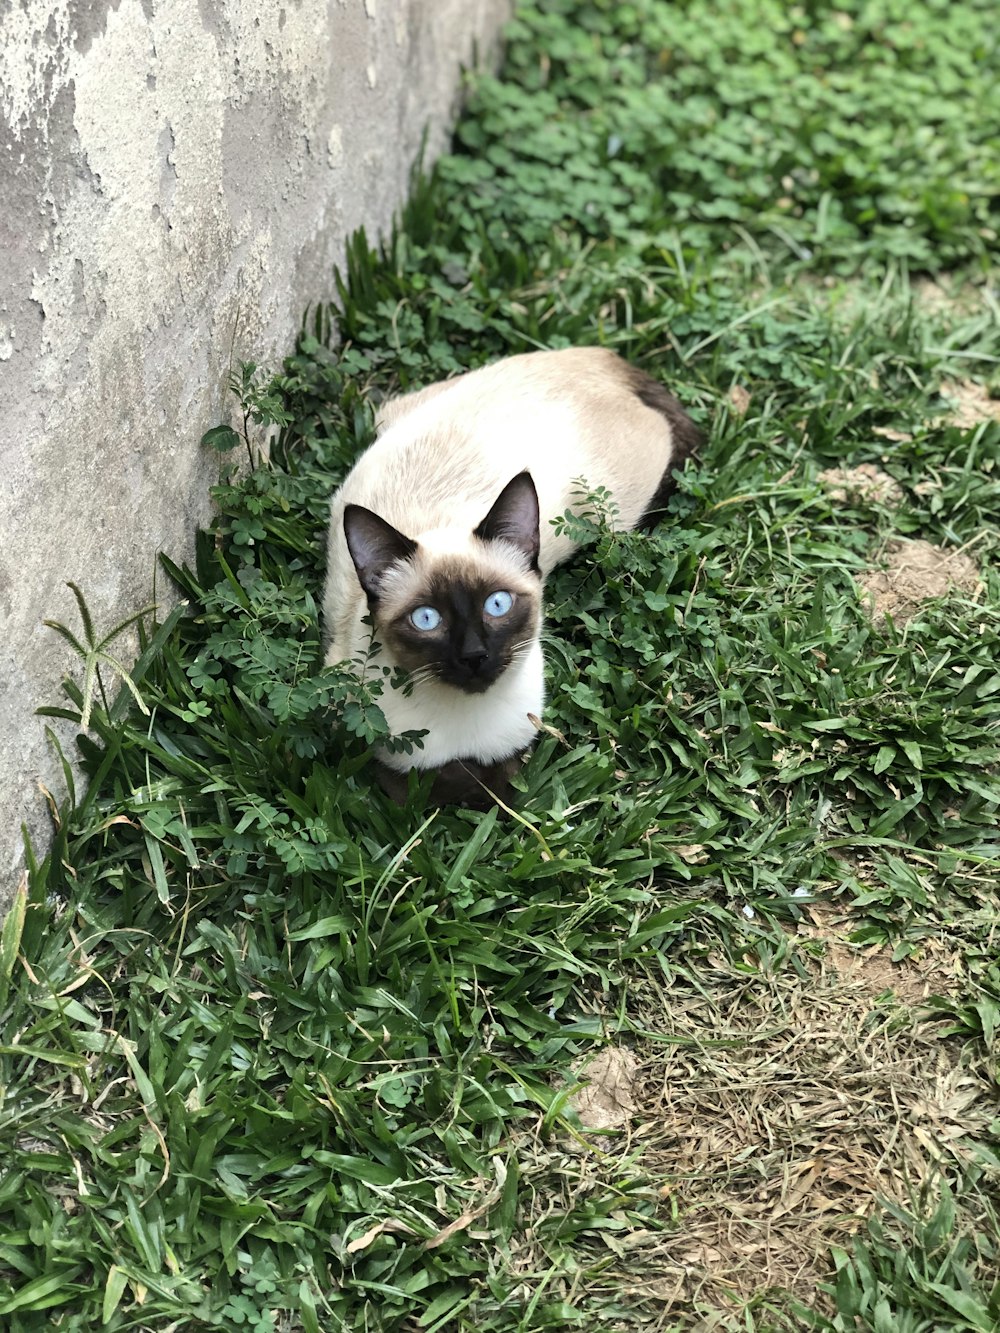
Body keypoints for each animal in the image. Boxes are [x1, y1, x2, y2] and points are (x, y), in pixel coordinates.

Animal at [325, 346, 698, 799]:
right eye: (426, 618)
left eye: (497, 604)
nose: (474, 656)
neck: (465, 727)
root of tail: (597, 356)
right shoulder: (387, 760)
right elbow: (431, 788)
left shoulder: (515, 752)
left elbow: (495, 787)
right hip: (387, 416)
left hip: (612, 517)